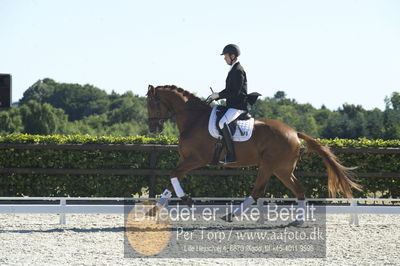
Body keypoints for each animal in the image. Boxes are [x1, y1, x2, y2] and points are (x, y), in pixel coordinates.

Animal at [147, 85, 362, 222]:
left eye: (152, 104)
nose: (153, 129)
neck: (194, 119)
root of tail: (294, 132)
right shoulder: (185, 159)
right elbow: (171, 181)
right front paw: (153, 210)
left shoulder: (196, 159)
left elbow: (173, 175)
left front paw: (187, 200)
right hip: (282, 169)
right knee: (299, 190)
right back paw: (298, 221)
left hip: (270, 165)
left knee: (259, 190)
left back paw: (231, 215)